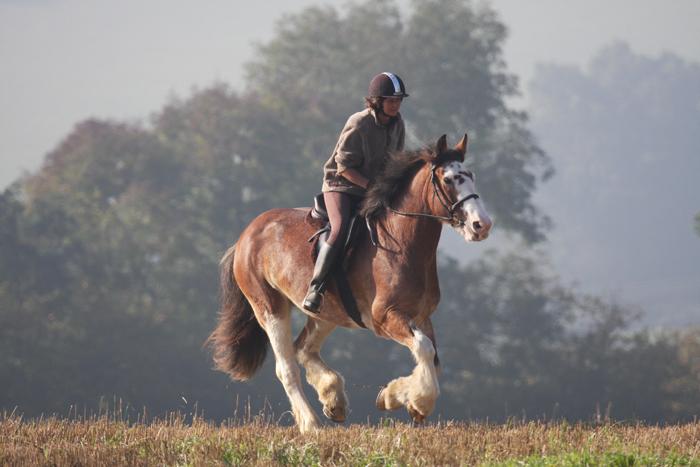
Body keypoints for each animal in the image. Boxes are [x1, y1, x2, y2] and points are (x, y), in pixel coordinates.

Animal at [206, 133, 492, 434]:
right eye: (448, 180)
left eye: (470, 175)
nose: (481, 225)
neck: (402, 243)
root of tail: (246, 236)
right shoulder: (385, 318)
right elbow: (424, 349)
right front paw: (413, 400)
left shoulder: (421, 316)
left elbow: (432, 357)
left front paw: (396, 397)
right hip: (269, 308)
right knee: (286, 368)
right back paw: (311, 423)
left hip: (325, 312)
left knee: (303, 349)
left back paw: (334, 400)